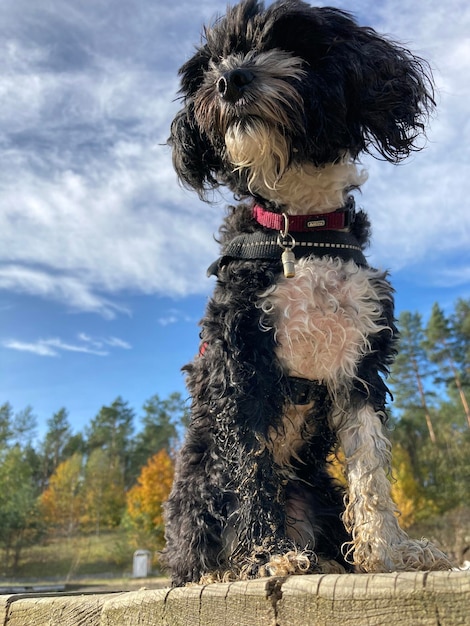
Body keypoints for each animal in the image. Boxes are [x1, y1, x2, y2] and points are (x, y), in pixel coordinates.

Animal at [162, 1, 452, 584]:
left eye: (291, 42)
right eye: (211, 64)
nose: (229, 80)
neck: (300, 229)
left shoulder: (360, 366)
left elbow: (370, 468)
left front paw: (389, 552)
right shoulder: (240, 366)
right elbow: (249, 466)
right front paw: (266, 555)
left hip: (318, 489)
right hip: (199, 492)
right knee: (195, 553)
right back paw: (224, 569)